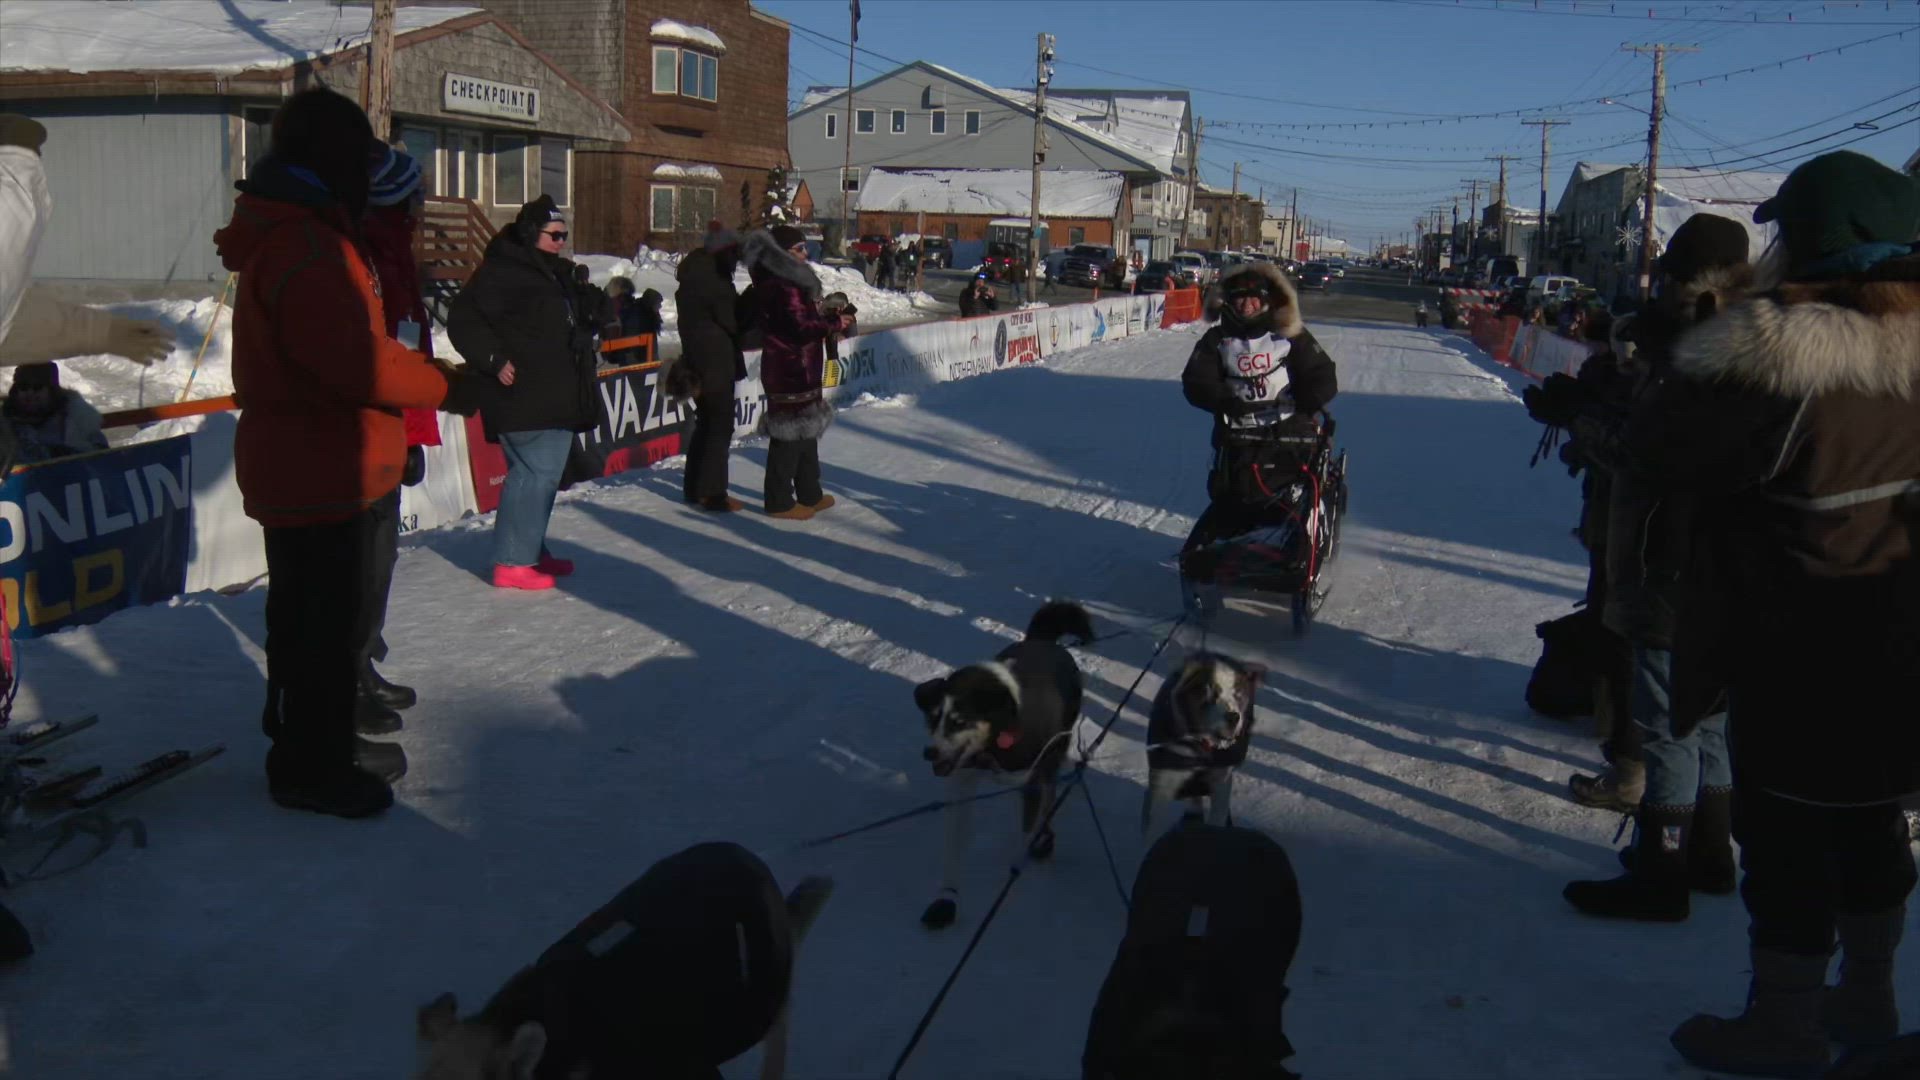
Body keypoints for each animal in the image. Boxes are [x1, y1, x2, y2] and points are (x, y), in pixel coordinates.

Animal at [915, 600, 1093, 929]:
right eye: (933, 719)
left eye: (959, 722)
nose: (929, 753)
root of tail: (1043, 640)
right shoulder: (963, 782)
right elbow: (954, 846)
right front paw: (946, 899)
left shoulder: (1031, 782)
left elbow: (1025, 833)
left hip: (1052, 757)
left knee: (1049, 796)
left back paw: (1044, 839)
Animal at [1141, 652, 1265, 836]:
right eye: (1211, 693)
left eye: (1238, 694)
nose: (1233, 717)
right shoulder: (1163, 782)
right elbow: (1154, 829)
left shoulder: (1221, 782)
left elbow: (1217, 817)